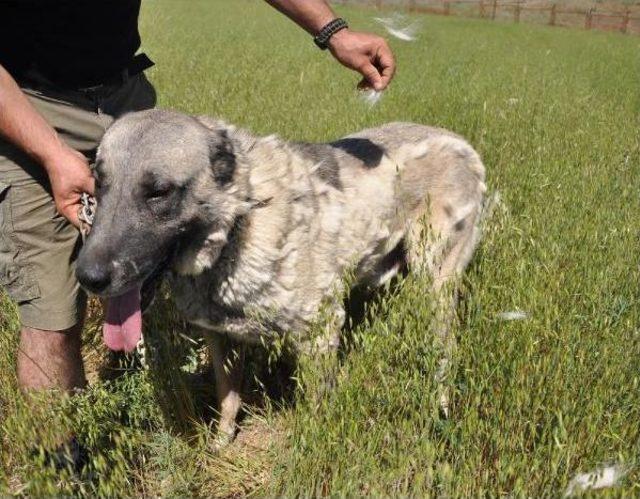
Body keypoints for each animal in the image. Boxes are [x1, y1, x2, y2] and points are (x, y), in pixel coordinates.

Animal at [75, 109, 484, 446]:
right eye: (99, 182)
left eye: (159, 192)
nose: (87, 277)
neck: (240, 221)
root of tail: (463, 144)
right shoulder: (222, 338)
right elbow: (228, 397)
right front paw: (222, 443)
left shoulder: (319, 335)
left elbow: (316, 408)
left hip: (436, 282)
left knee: (446, 350)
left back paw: (441, 404)